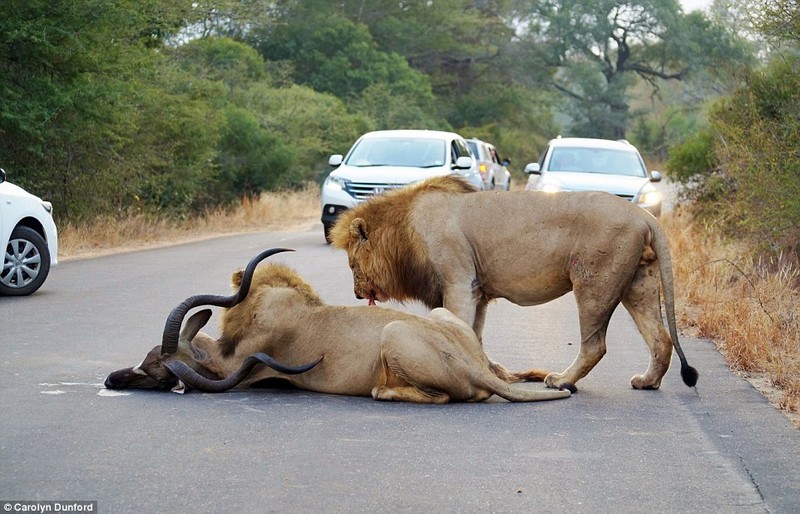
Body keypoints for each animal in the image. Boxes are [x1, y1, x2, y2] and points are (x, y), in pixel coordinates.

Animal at [104, 246, 568, 402]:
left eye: (155, 371)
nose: (112, 379)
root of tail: (472, 364)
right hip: (438, 316)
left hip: (392, 332)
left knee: (438, 397)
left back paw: (383, 391)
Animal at [328, 174, 696, 390]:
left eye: (351, 264)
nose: (357, 294)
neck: (404, 231)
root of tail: (643, 215)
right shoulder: (477, 290)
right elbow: (473, 335)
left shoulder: (459, 282)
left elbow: (458, 327)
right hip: (638, 283)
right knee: (661, 339)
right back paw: (647, 382)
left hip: (594, 282)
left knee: (595, 345)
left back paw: (561, 381)